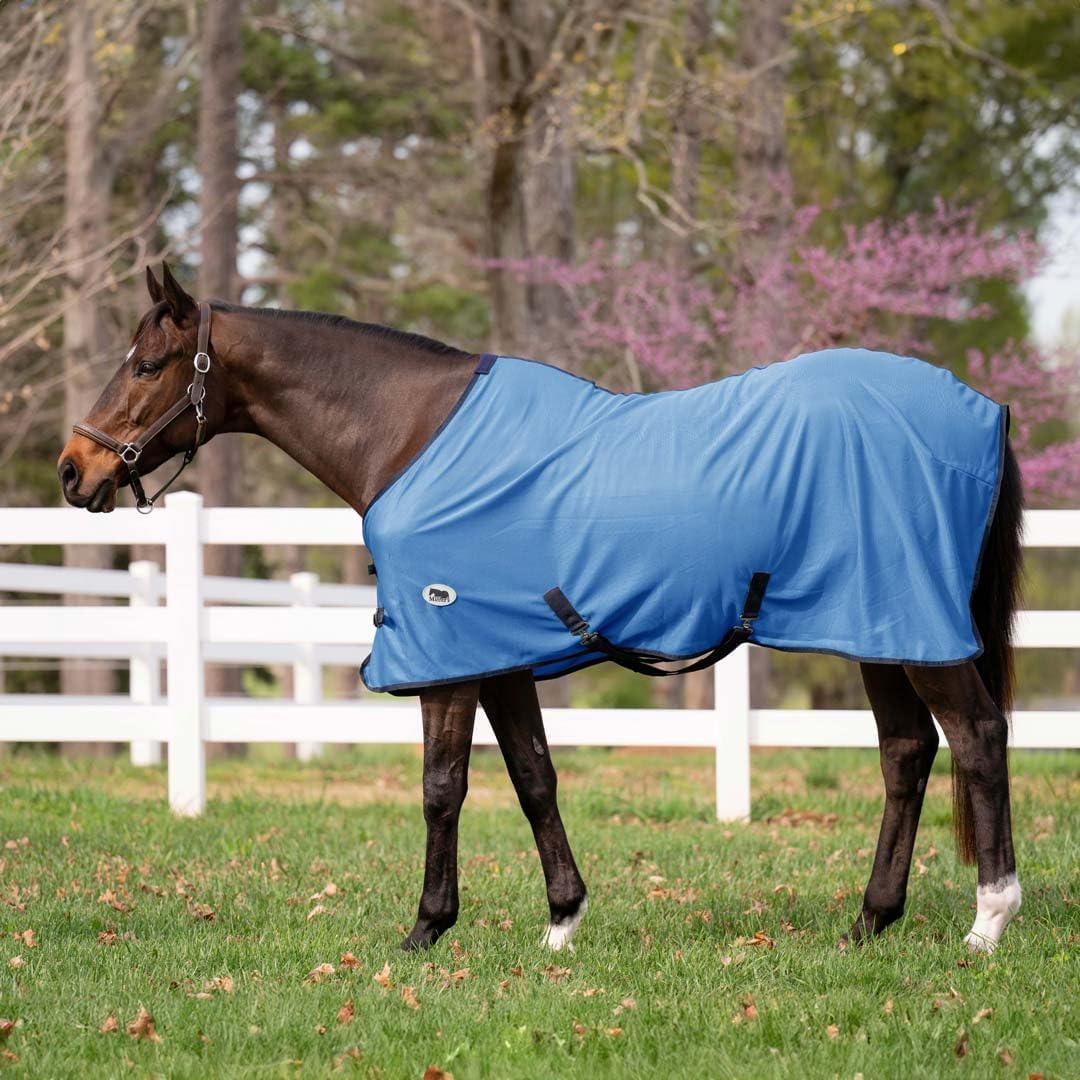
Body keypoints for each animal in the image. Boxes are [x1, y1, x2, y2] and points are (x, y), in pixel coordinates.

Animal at [57, 264, 1024, 954]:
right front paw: (562, 920)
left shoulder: (448, 655)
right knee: (907, 753)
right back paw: (870, 921)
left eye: (147, 364)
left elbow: (442, 787)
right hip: (876, 627)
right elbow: (533, 777)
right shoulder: (499, 654)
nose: (75, 469)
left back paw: (988, 919)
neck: (410, 437)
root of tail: (983, 409)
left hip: (917, 633)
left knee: (977, 736)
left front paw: (425, 929)